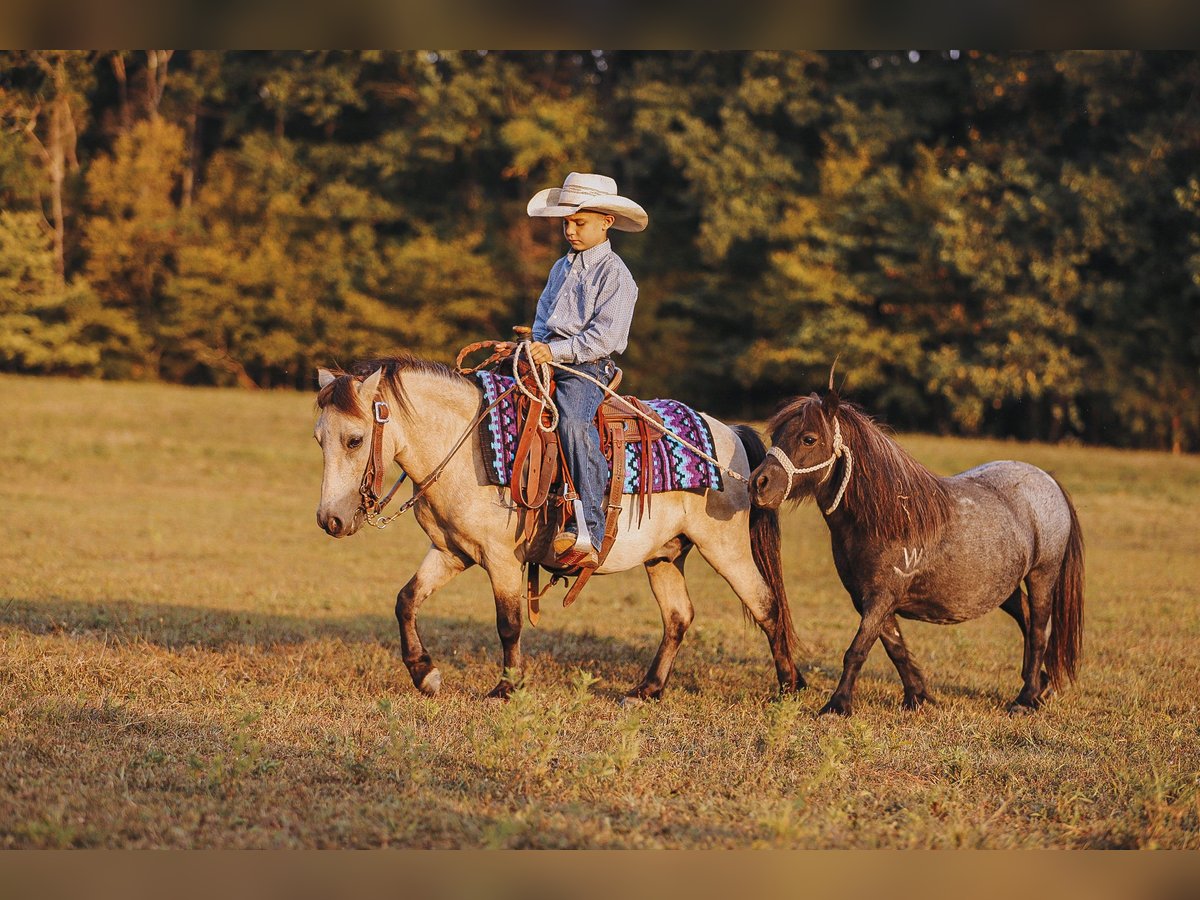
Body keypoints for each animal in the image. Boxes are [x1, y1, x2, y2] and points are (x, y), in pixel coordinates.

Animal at [314, 355, 801, 700]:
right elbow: (406, 600)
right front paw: (424, 674)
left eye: (355, 439)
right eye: (319, 439)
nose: (329, 520)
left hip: (725, 547)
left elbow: (508, 623)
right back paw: (647, 690)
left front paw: (506, 687)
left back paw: (789, 687)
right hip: (665, 555)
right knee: (678, 617)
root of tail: (730, 432)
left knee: (766, 605)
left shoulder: (501, 559)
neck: (467, 447)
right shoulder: (452, 552)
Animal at [753, 388, 1084, 720]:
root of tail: (1048, 479)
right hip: (1005, 587)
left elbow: (857, 650)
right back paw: (1039, 686)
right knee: (1028, 620)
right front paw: (918, 697)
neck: (888, 518)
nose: (759, 484)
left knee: (1039, 629)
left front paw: (837, 705)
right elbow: (895, 647)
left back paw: (1026, 698)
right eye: (776, 435)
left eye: (808, 439)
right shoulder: (868, 599)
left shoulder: (881, 597)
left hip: (1042, 575)